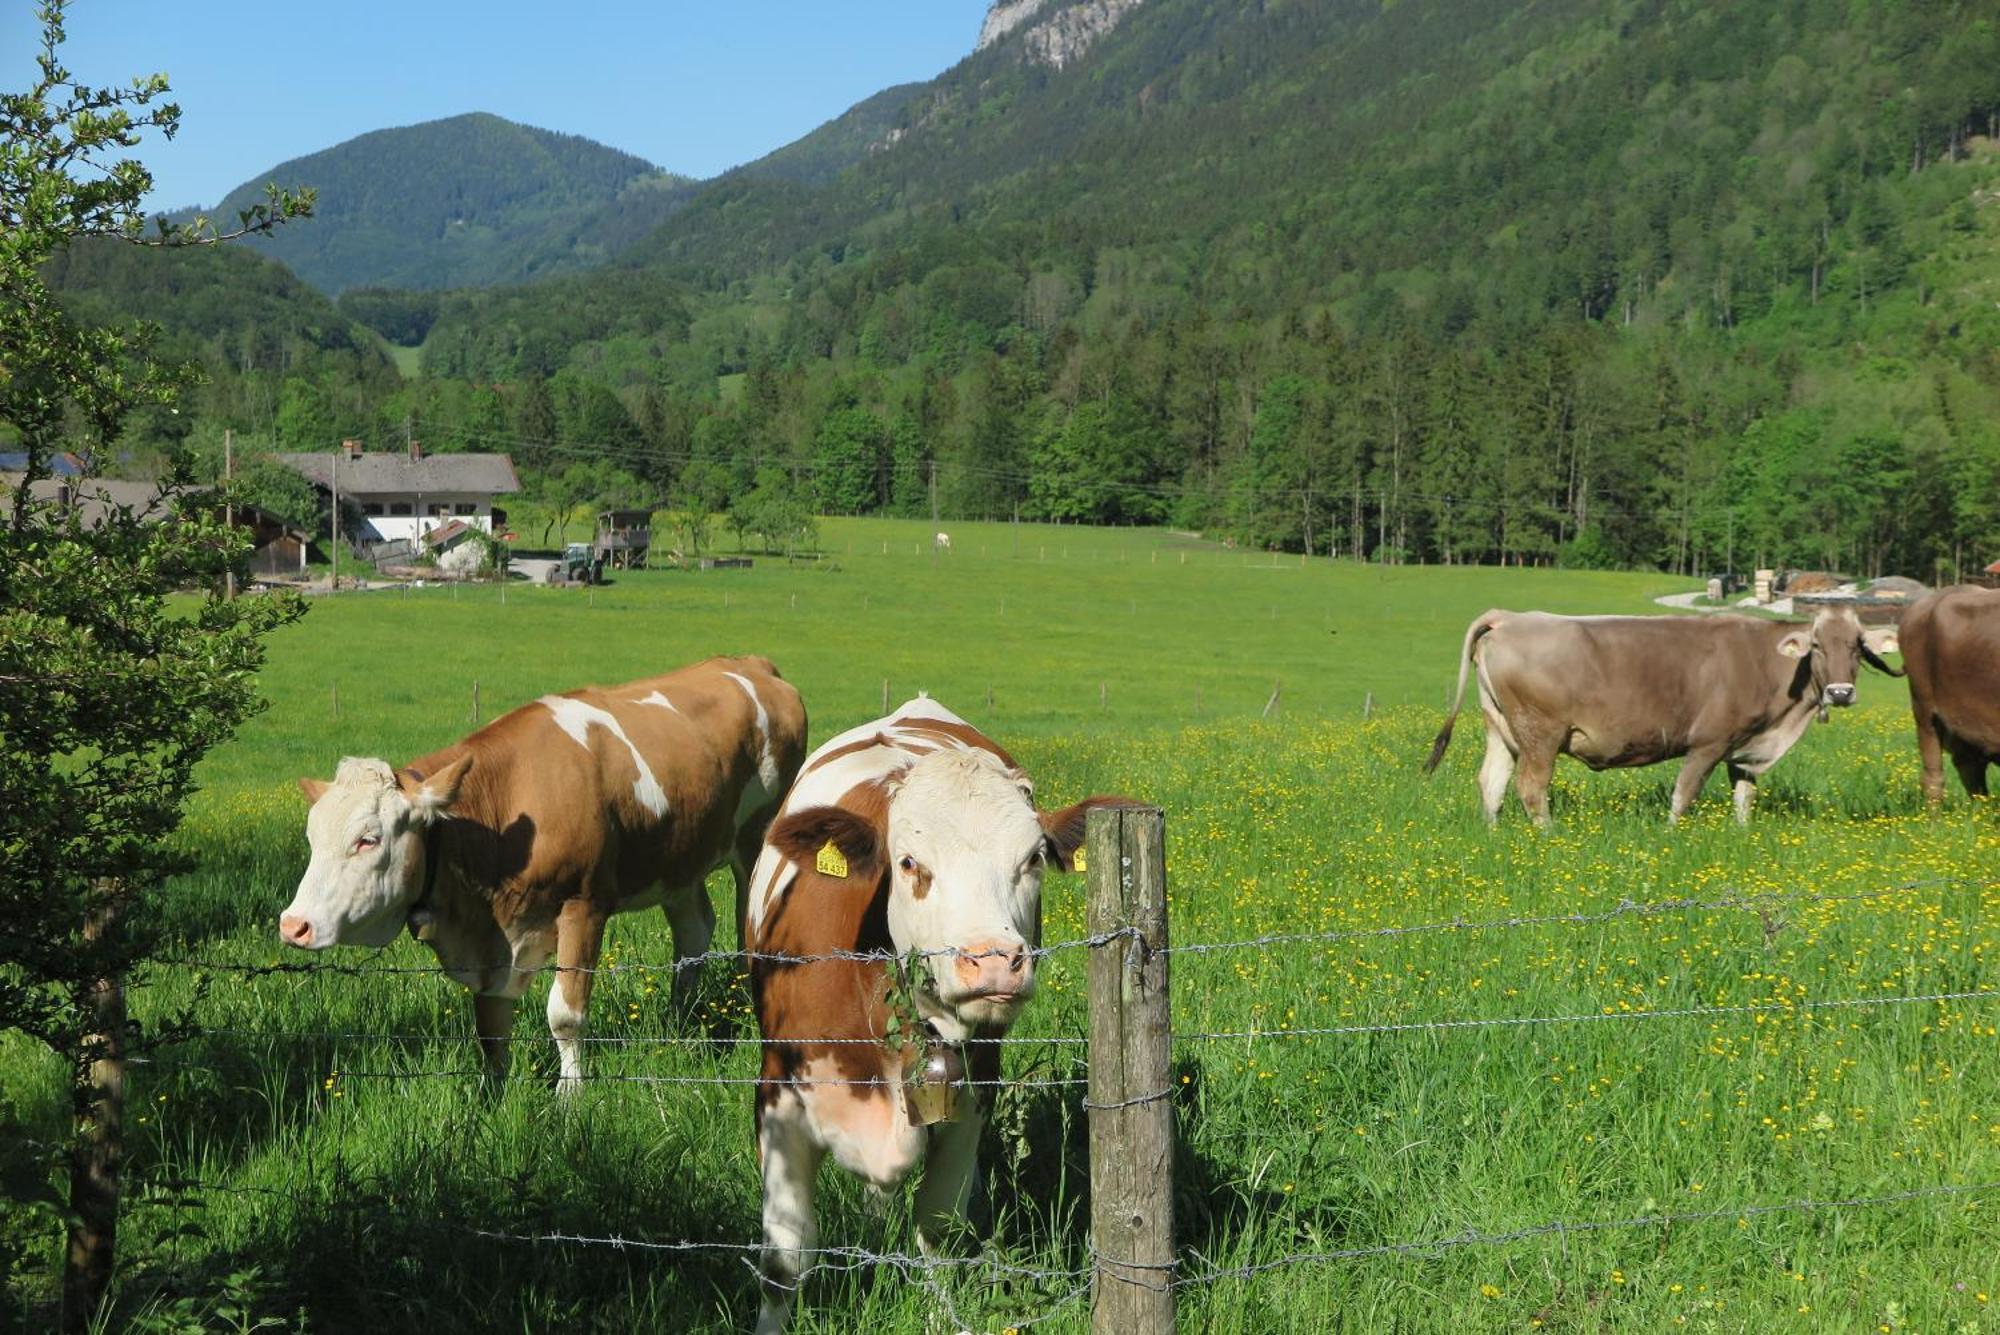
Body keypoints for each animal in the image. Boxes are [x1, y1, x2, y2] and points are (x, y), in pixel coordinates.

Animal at [276, 655, 804, 1087]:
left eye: (368, 839)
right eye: (312, 839)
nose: (293, 925)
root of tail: (750, 664)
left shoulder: (584, 905)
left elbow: (565, 1015)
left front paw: (570, 1101)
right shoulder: (494, 943)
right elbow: (491, 1028)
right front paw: (493, 1098)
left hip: (755, 842)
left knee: (747, 936)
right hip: (678, 859)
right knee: (693, 933)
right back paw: (678, 1023)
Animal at [744, 699, 1144, 1335]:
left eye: (1032, 859)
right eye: (910, 863)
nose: (995, 962)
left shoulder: (972, 1091)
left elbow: (938, 1228)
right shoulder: (779, 1091)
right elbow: (785, 1257)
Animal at [1432, 607, 1896, 823]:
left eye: (1857, 645)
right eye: (1817, 645)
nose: (1840, 692)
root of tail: (1509, 618)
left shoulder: (1745, 748)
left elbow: (1744, 798)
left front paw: (1741, 833)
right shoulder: (1709, 742)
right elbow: (1683, 795)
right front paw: (1672, 833)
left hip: (1501, 729)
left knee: (1491, 782)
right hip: (1539, 734)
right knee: (1530, 787)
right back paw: (1549, 836)